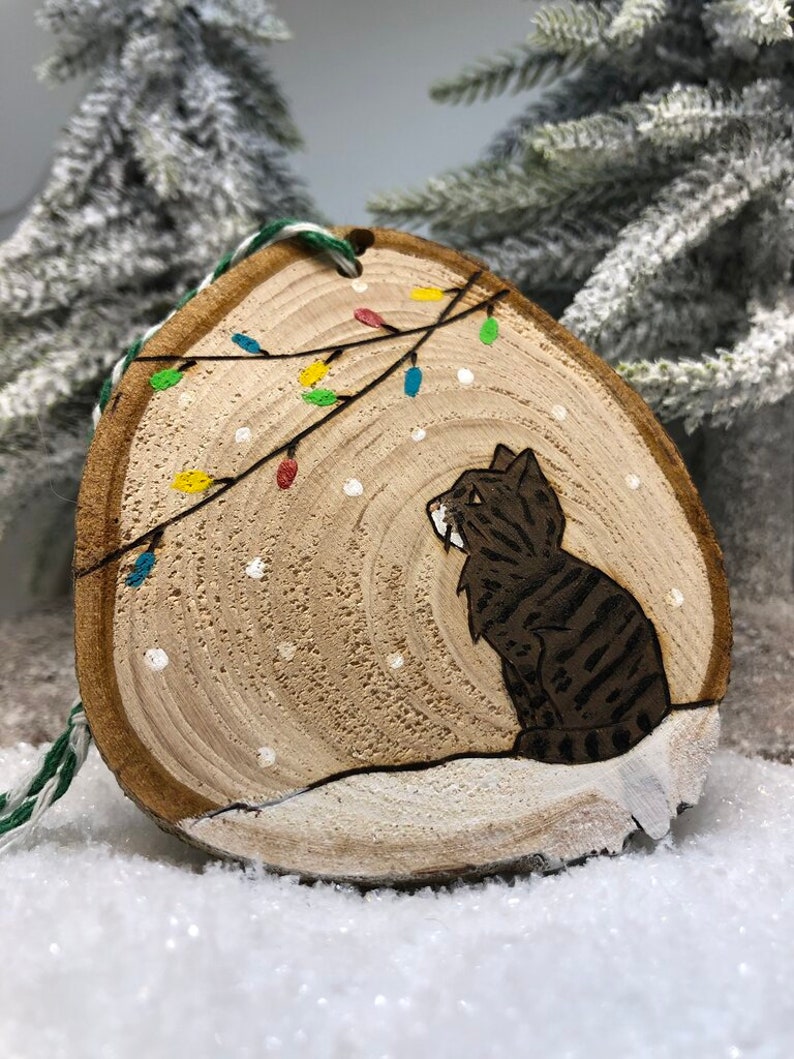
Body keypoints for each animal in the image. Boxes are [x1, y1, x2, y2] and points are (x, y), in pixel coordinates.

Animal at [429, 444, 707, 762]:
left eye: (473, 497)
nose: (432, 505)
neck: (514, 567)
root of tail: (653, 708)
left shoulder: (527, 655)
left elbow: (540, 705)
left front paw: (540, 739)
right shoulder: (509, 664)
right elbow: (525, 704)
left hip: (554, 656)